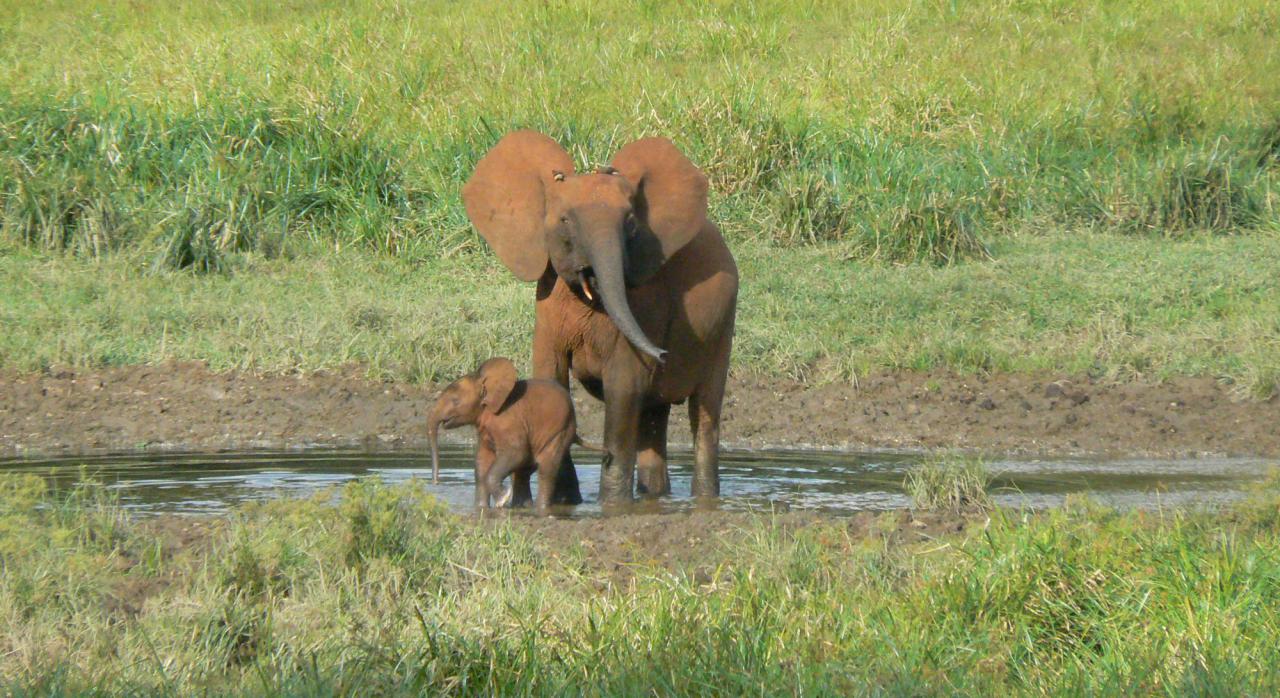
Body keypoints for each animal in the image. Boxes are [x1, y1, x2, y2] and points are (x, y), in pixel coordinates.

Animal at [432, 356, 586, 509]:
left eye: (455, 401)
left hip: (560, 430)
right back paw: (521, 507)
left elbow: (517, 453)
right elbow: (482, 463)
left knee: (546, 469)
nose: (435, 483)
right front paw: (481, 509)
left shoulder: (508, 423)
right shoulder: (485, 431)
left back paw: (539, 508)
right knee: (523, 473)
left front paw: (502, 500)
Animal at [465, 130, 737, 502]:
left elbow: (624, 386)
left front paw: (611, 504)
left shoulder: (645, 303)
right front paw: (567, 501)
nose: (663, 353)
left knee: (704, 414)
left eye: (631, 223)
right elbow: (551, 376)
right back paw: (654, 497)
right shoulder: (547, 301)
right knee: (653, 416)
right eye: (565, 220)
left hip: (723, 328)